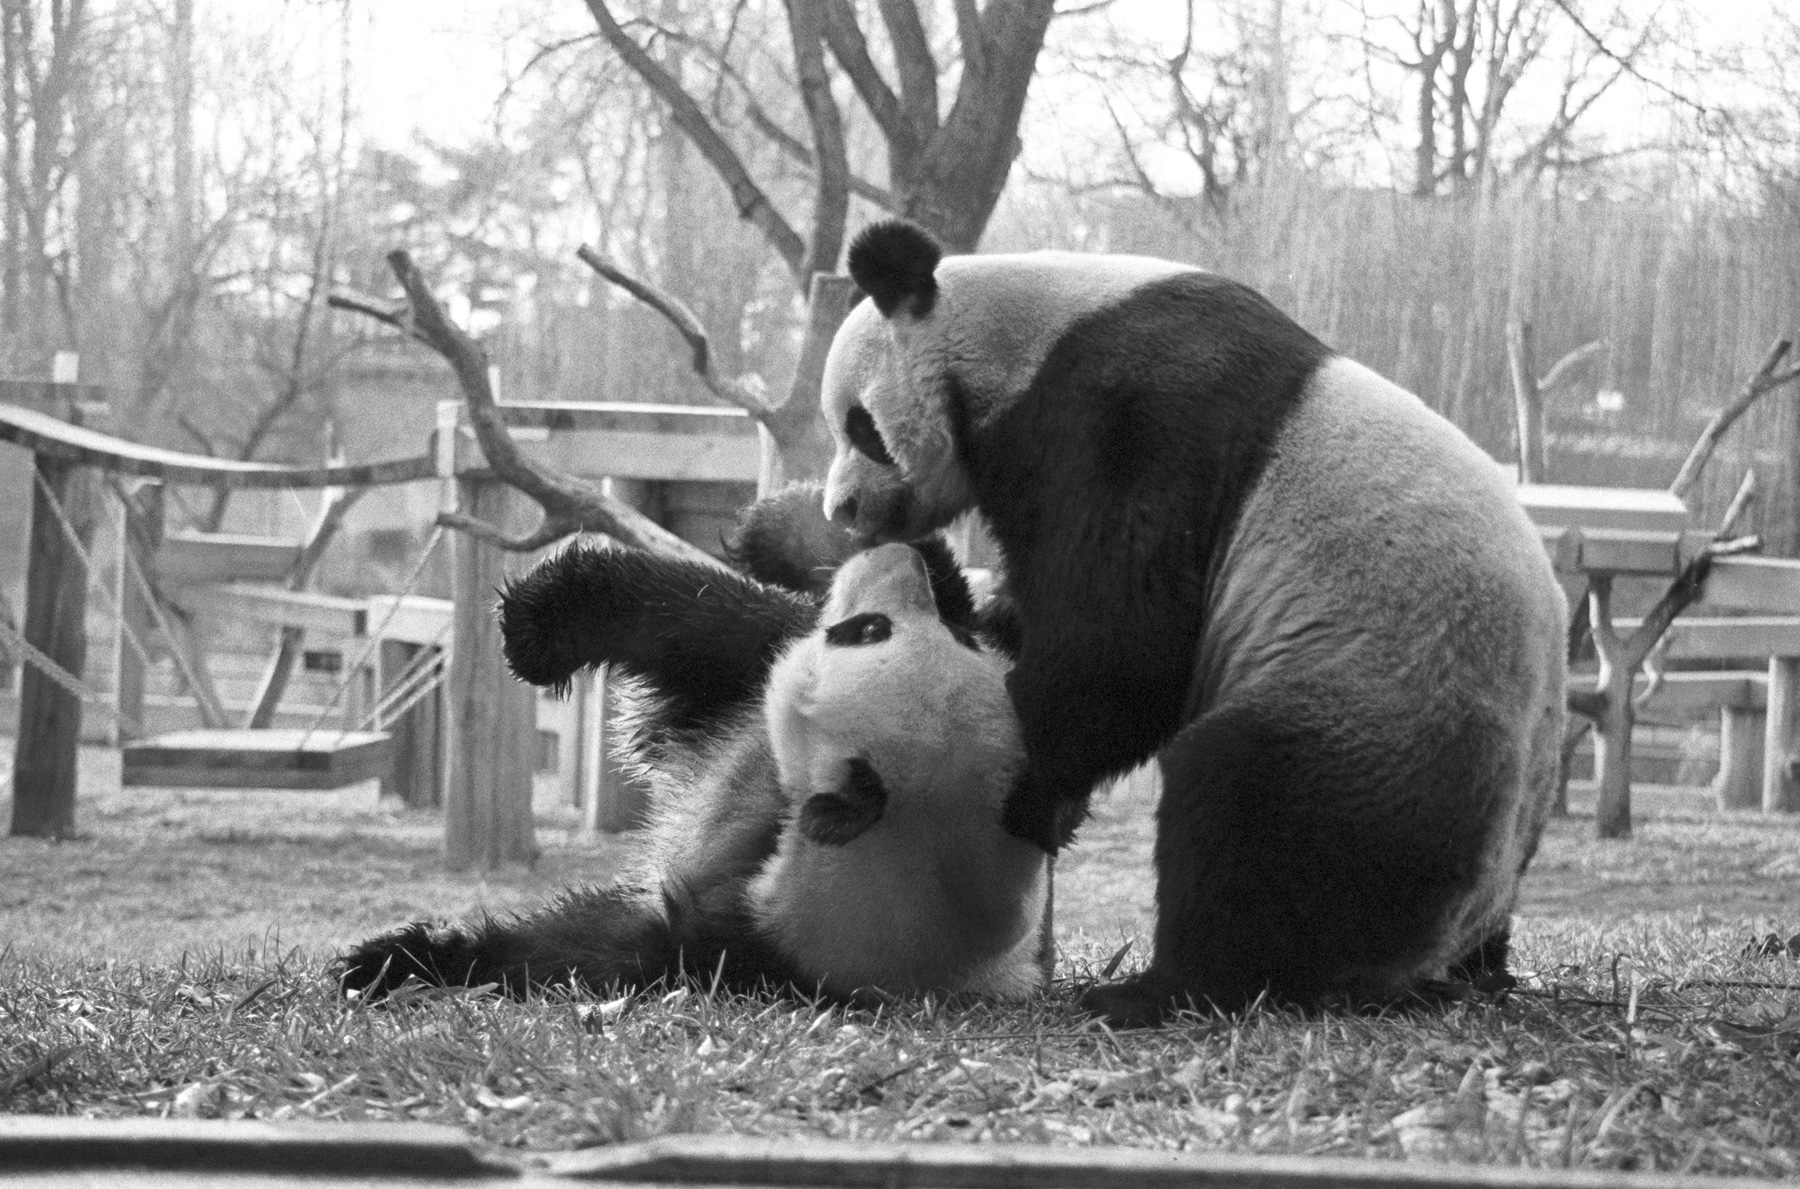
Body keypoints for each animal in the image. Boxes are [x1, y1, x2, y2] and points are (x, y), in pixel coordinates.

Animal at [338, 500, 1051, 1000]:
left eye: (869, 630)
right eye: (956, 636)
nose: (909, 568)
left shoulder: (747, 941)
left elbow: (590, 949)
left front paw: (406, 961)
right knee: (708, 619)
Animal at [824, 217, 1569, 1021]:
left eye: (859, 427)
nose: (841, 510)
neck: (1020, 336)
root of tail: (1444, 938)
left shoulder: (1128, 418)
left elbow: (1126, 640)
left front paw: (1030, 783)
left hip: (1374, 722)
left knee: (1251, 820)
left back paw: (1157, 990)